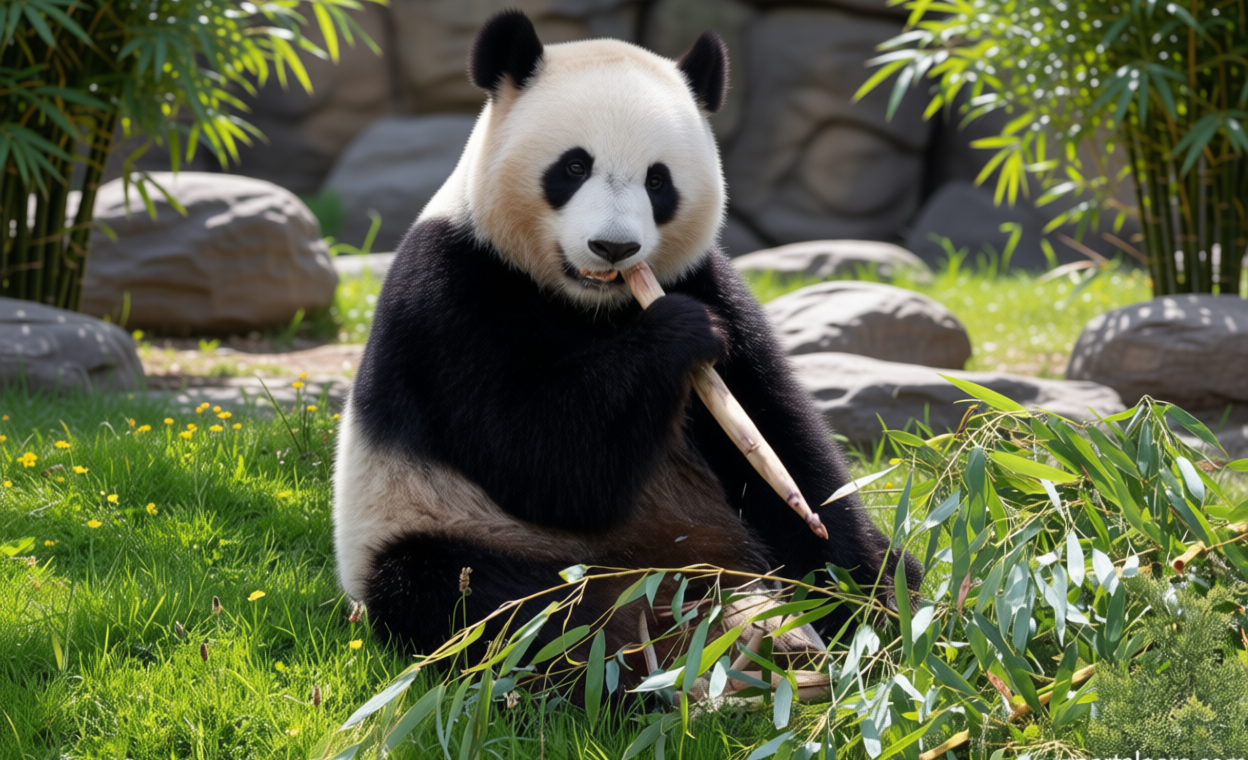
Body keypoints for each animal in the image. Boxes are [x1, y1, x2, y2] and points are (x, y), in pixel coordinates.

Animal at [333, 9, 921, 665]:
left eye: (658, 181)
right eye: (573, 167)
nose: (613, 247)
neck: (592, 305)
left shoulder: (707, 279)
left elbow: (779, 442)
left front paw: (859, 596)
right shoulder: (453, 291)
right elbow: (537, 456)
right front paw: (679, 332)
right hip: (452, 528)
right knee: (483, 602)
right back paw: (635, 657)